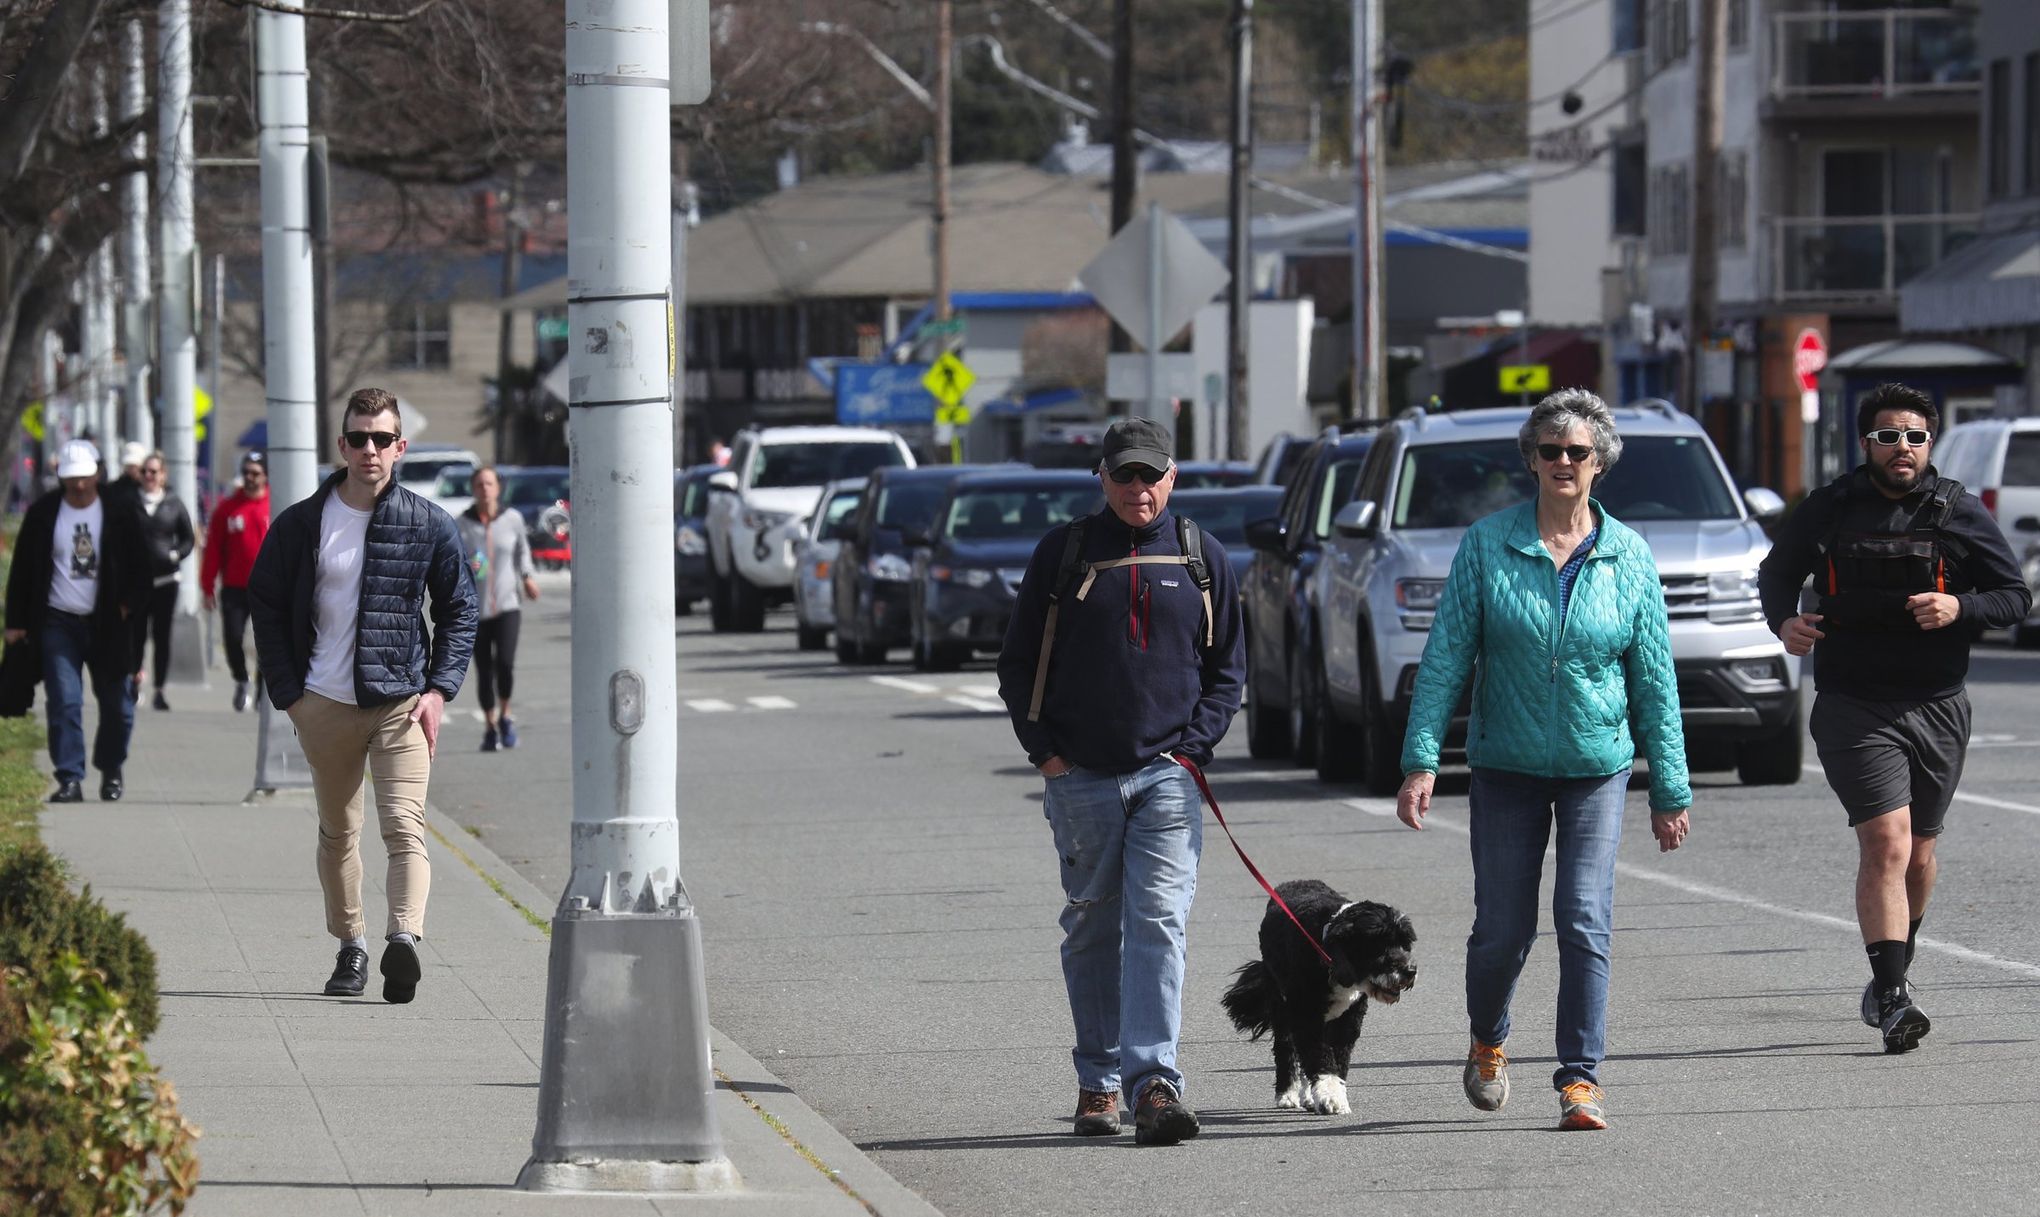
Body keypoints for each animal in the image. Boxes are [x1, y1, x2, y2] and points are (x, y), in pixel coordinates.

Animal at [1207, 876, 1419, 1117]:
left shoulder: (1349, 1018)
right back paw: (1287, 1093)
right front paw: (1331, 1096)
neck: (1328, 953)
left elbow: (1337, 1057)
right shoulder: (1306, 1015)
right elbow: (1320, 1056)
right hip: (1280, 1003)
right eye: (1379, 944)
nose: (1410, 971)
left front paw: (1333, 1093)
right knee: (1286, 1048)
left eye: (1404, 943)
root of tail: (1296, 881)